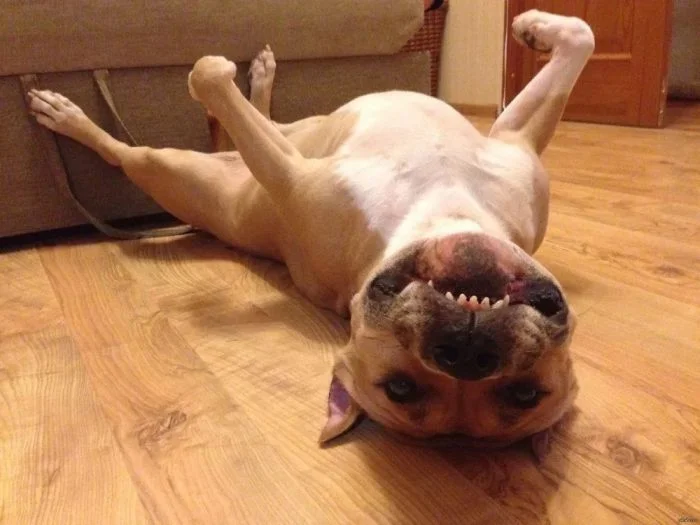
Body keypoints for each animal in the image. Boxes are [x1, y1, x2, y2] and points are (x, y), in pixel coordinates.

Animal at [28, 10, 594, 456]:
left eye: (525, 394)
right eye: (401, 389)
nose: (468, 352)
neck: (441, 208)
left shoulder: (288, 176)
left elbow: (207, 76)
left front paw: (211, 76)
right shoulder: (514, 139)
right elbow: (581, 38)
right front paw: (535, 27)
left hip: (168, 168)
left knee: (129, 151)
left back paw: (68, 116)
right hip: (276, 138)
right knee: (251, 120)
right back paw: (256, 78)